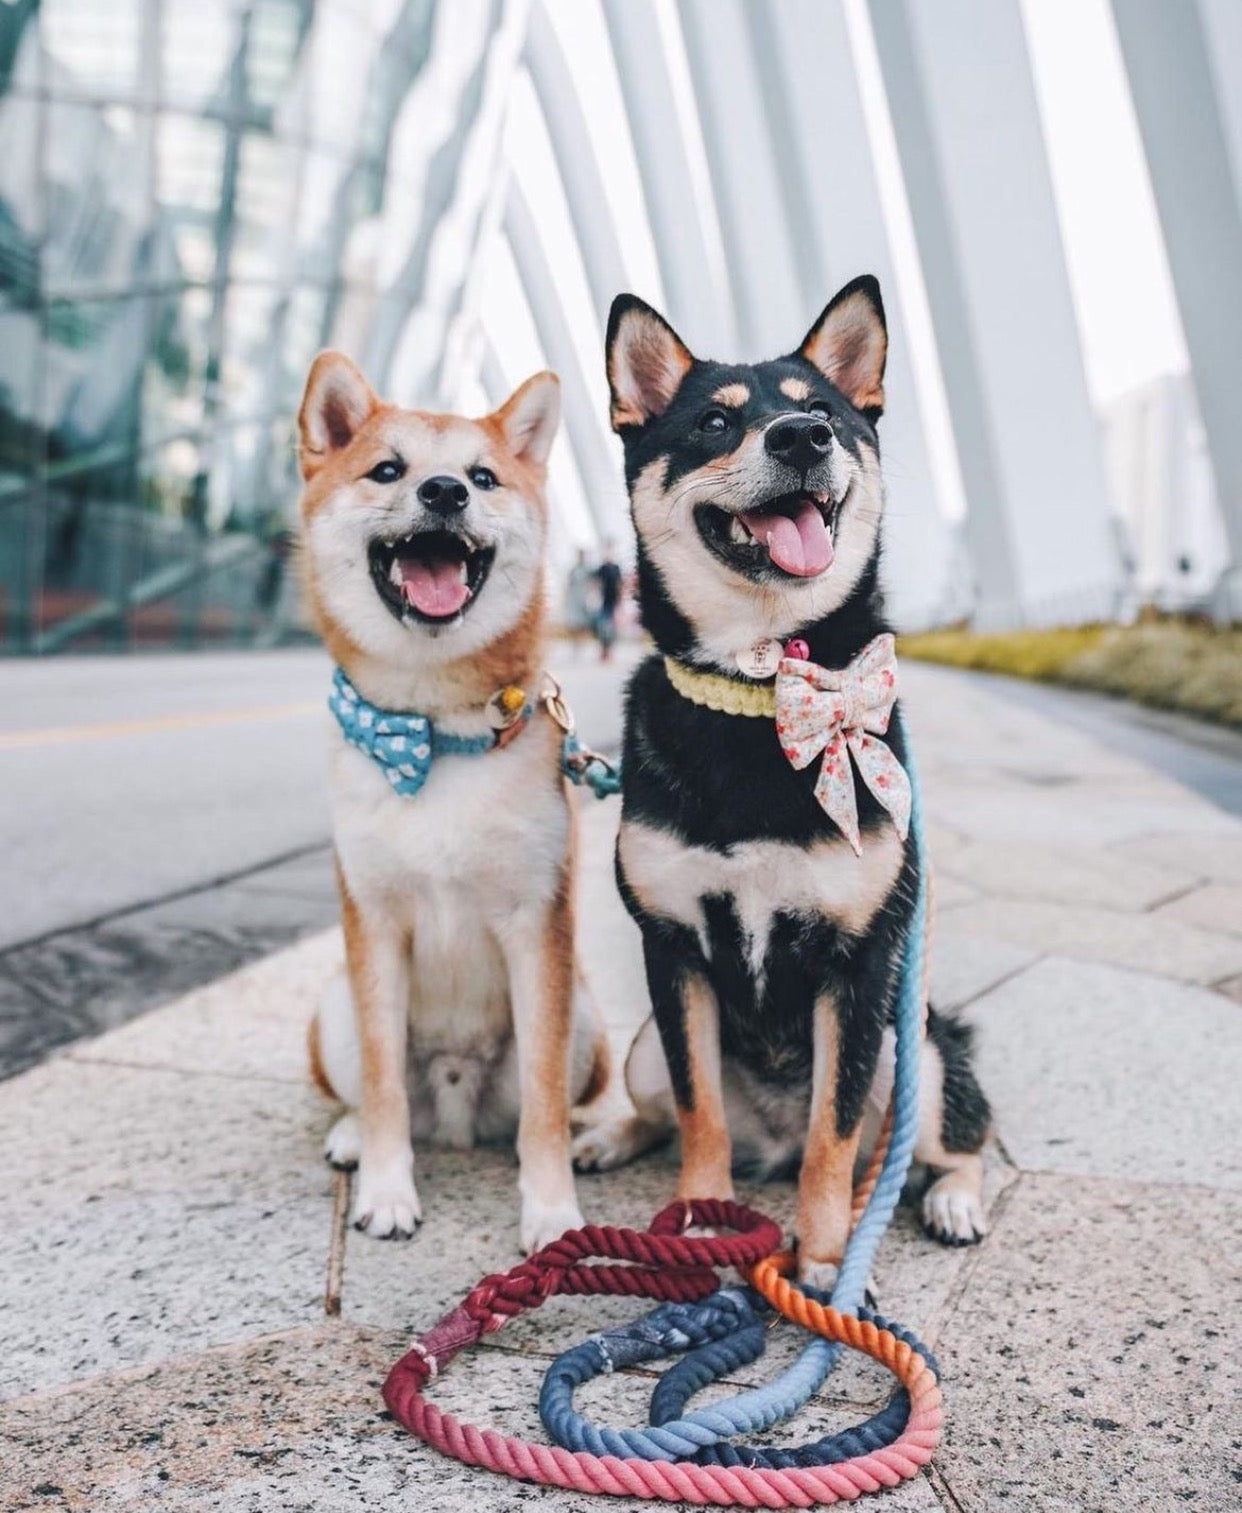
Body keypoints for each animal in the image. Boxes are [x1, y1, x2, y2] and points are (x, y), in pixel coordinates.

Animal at [577, 278, 992, 1283]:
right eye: (713, 422)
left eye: (825, 412)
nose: (800, 437)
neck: (763, 689)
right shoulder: (673, 948)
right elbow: (698, 1112)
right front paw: (698, 1225)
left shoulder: (860, 962)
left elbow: (834, 1134)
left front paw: (824, 1260)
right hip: (643, 1047)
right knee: (668, 1107)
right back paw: (612, 1137)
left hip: (917, 1044)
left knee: (934, 1140)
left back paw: (952, 1198)